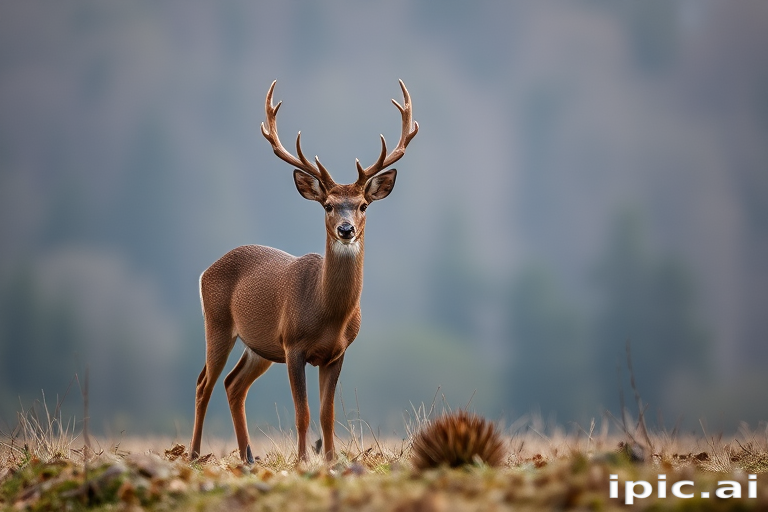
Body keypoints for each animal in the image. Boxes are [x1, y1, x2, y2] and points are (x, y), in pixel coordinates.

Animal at [189, 80, 418, 464]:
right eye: (327, 205)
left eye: (363, 205)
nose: (346, 229)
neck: (327, 313)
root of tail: (206, 270)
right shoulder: (293, 345)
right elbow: (303, 412)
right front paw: (302, 460)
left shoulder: (337, 353)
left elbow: (327, 413)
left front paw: (330, 460)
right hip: (218, 323)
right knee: (204, 383)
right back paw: (192, 454)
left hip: (259, 345)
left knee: (233, 385)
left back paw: (248, 457)